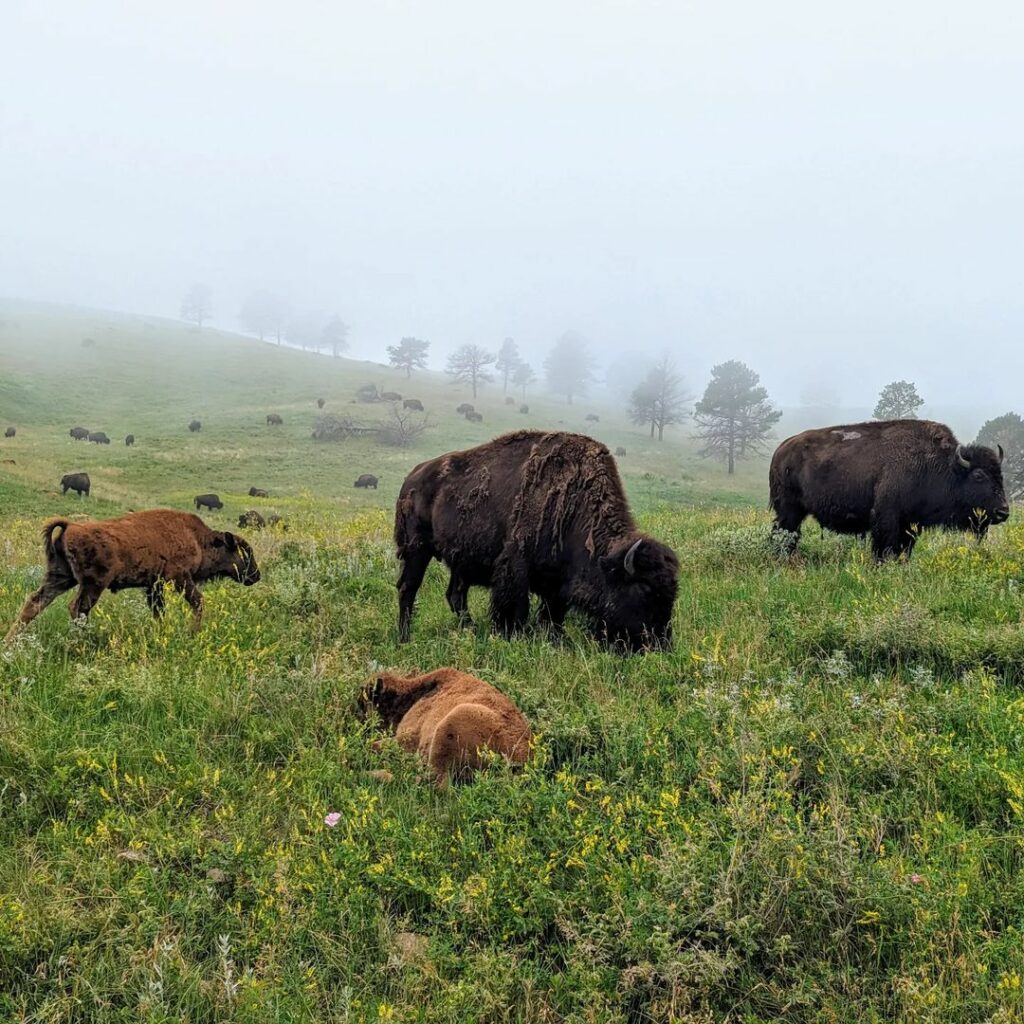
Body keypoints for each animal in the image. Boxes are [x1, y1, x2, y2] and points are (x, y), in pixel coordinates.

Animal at [5, 509, 260, 643]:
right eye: (243, 553)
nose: (256, 576)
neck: (197, 538)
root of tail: (71, 527)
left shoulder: (154, 586)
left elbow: (159, 612)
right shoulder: (179, 579)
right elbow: (198, 601)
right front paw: (193, 632)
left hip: (61, 578)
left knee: (35, 603)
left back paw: (10, 641)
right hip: (92, 584)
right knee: (77, 608)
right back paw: (83, 641)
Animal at [358, 667, 532, 786]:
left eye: (362, 703)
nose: (362, 725)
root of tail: (526, 758)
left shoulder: (406, 739)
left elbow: (371, 745)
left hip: (453, 722)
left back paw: (371, 774)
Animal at [397, 428, 679, 651]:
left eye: (672, 593)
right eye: (644, 589)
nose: (660, 645)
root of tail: (412, 476)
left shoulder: (557, 582)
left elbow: (553, 615)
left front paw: (555, 641)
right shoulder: (516, 567)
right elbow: (515, 609)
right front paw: (513, 637)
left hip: (461, 560)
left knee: (455, 595)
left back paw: (470, 630)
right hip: (417, 549)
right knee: (408, 588)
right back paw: (405, 637)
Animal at [770, 417, 1007, 561]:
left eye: (1001, 475)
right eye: (978, 476)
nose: (1003, 512)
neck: (940, 464)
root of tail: (781, 449)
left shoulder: (911, 523)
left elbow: (905, 548)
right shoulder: (887, 517)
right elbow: (885, 548)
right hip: (788, 510)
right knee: (783, 533)